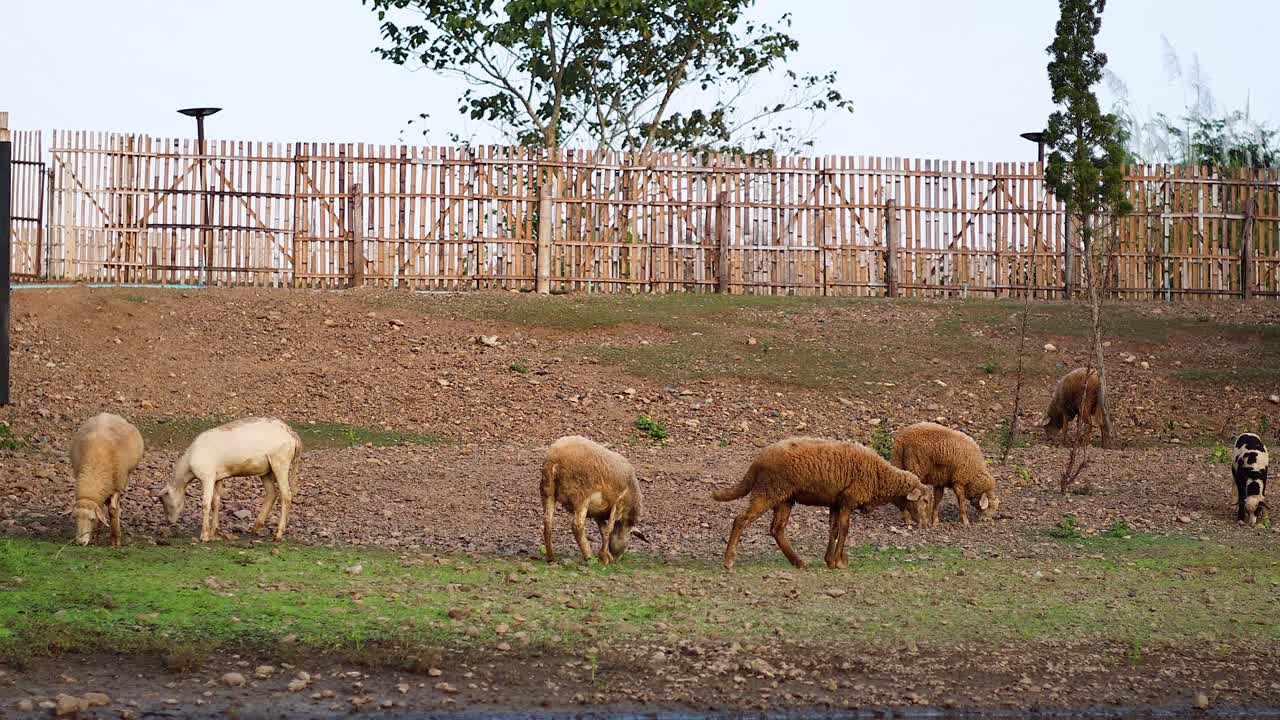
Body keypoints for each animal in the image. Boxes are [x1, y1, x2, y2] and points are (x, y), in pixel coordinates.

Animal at [68, 413, 145, 547]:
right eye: (74, 518)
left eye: (92, 519)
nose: (80, 543)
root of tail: (107, 414)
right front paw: (95, 538)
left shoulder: (117, 486)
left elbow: (113, 510)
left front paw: (115, 541)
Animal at [153, 417, 302, 542]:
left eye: (166, 502)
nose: (169, 522)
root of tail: (293, 435)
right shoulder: (218, 477)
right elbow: (216, 502)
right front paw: (214, 533)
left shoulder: (207, 476)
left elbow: (205, 504)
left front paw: (204, 536)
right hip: (266, 469)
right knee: (272, 493)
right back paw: (256, 528)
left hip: (280, 463)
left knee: (286, 495)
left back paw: (278, 534)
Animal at [540, 435, 646, 565]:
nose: (616, 561)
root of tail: (555, 459)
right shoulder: (620, 503)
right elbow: (609, 529)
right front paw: (604, 558)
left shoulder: (598, 512)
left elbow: (603, 530)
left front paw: (604, 555)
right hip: (580, 495)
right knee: (577, 526)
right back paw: (589, 556)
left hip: (547, 489)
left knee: (547, 521)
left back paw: (551, 557)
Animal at [711, 437, 931, 570]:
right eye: (924, 500)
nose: (926, 525)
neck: (879, 476)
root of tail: (756, 463)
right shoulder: (848, 500)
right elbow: (844, 529)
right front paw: (839, 562)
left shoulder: (835, 502)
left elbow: (833, 530)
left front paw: (830, 560)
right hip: (768, 492)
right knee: (740, 520)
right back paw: (729, 560)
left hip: (784, 499)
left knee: (777, 529)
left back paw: (798, 562)